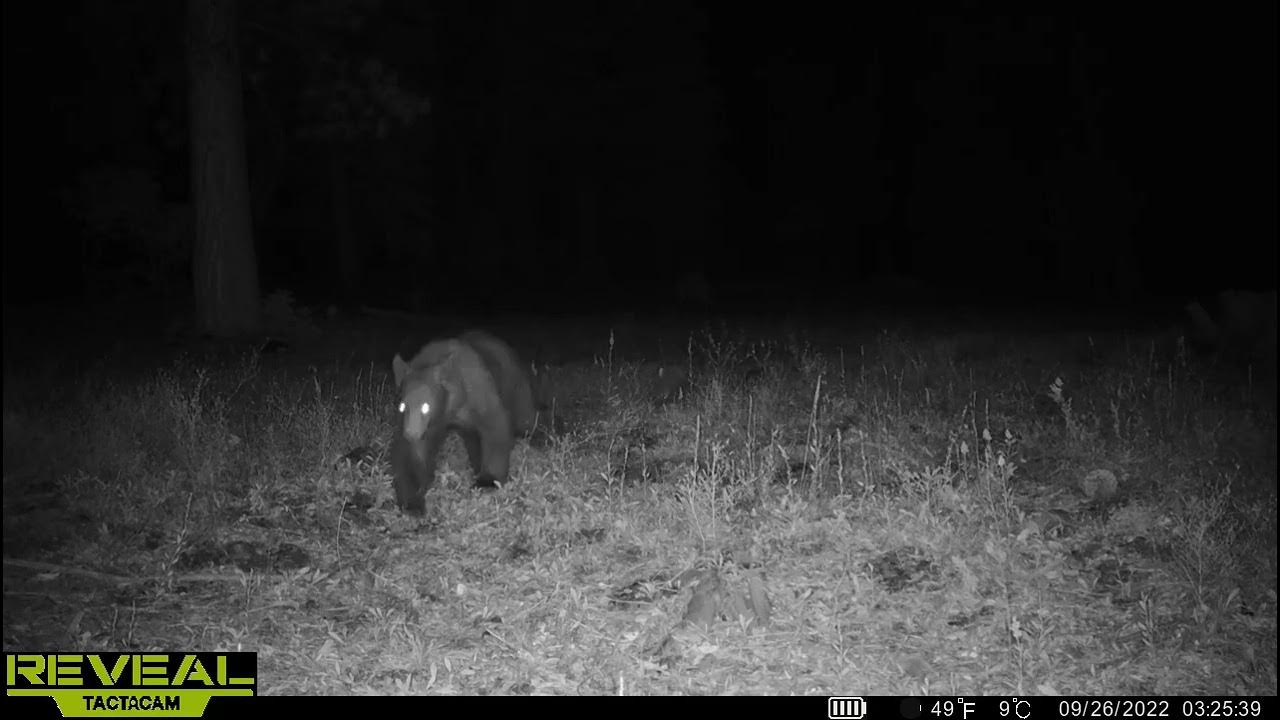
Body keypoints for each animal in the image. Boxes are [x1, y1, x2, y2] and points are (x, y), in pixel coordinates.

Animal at [389, 330, 537, 515]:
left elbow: (495, 426)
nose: (411, 433)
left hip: (517, 388)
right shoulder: (425, 424)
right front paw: (412, 503)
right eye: (402, 406)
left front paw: (487, 482)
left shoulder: (478, 389)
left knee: (525, 421)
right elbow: (409, 452)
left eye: (425, 406)